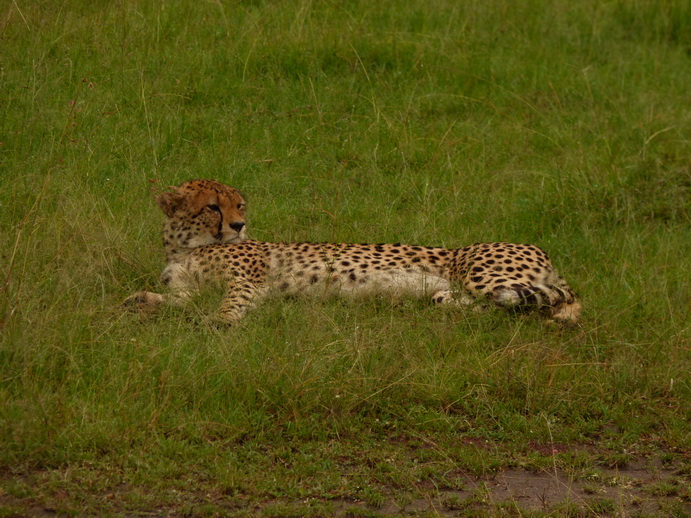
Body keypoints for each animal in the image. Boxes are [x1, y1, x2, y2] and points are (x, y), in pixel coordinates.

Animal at [127, 179, 580, 324]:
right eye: (212, 207)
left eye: (239, 205)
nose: (239, 226)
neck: (185, 246)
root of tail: (539, 249)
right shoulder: (189, 287)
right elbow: (176, 299)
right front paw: (142, 300)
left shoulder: (247, 279)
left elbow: (232, 301)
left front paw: (219, 323)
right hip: (460, 291)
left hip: (484, 273)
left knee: (558, 299)